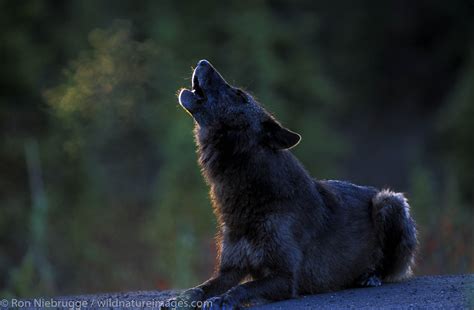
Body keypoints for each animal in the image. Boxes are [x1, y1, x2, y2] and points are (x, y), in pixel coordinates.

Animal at [172, 59, 416, 308]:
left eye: (238, 94)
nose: (202, 62)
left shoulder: (286, 277)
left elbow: (243, 288)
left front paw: (223, 300)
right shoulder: (229, 270)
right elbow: (202, 288)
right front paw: (183, 297)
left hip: (388, 201)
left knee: (388, 269)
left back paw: (371, 276)